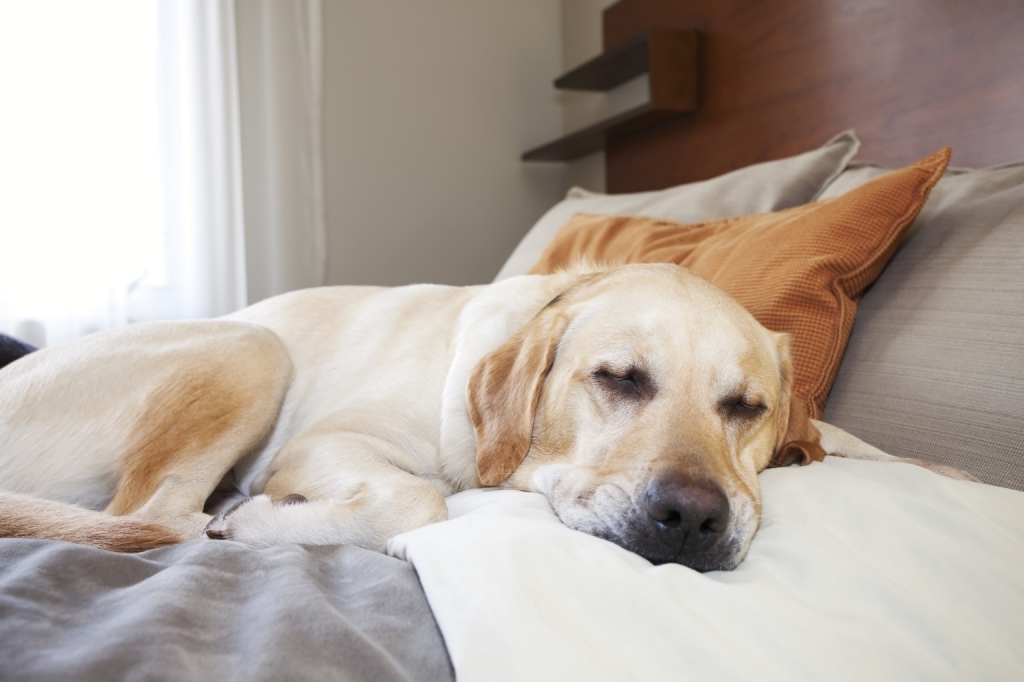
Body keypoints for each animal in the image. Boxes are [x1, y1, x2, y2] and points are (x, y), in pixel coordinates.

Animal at [0, 262, 974, 569]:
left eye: (746, 407)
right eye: (620, 379)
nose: (695, 518)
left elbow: (848, 440)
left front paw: (944, 468)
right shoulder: (328, 441)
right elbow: (417, 498)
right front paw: (262, 521)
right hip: (251, 347)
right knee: (158, 517)